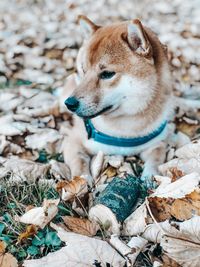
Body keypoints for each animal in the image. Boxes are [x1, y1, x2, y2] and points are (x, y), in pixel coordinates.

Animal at [62, 14, 172, 186]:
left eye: (107, 74)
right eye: (83, 71)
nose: (70, 103)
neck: (122, 132)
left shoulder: (157, 143)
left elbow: (156, 157)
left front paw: (150, 176)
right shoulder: (73, 141)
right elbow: (79, 161)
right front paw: (82, 180)